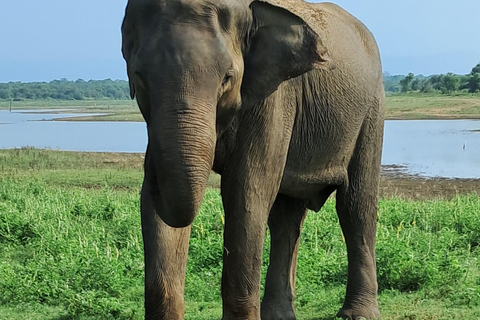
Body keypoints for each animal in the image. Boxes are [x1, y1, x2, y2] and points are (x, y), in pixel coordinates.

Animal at [122, 0, 384, 318]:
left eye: (227, 78)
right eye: (139, 77)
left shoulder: (273, 98)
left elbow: (245, 192)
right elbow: (154, 207)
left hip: (371, 110)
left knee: (355, 207)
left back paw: (357, 313)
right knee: (285, 217)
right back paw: (279, 314)